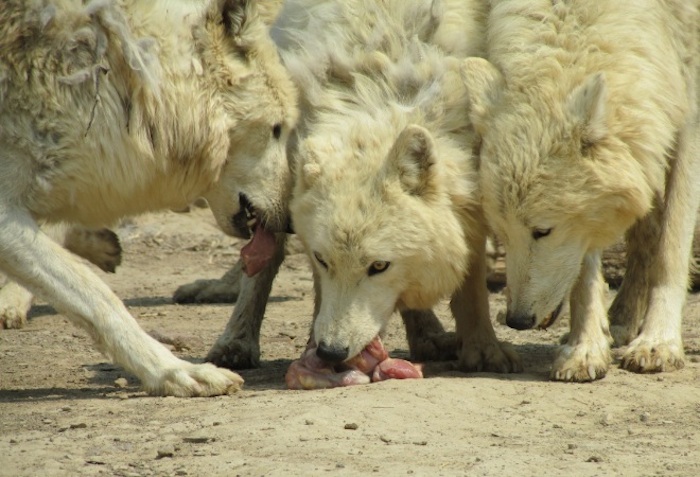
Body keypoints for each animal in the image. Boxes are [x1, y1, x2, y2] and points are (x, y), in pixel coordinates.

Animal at [462, 0, 700, 381]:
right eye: (502, 234)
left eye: (543, 231)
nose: (517, 320)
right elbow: (586, 272)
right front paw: (584, 348)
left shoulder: (687, 98)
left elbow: (672, 247)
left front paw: (658, 343)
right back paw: (618, 322)